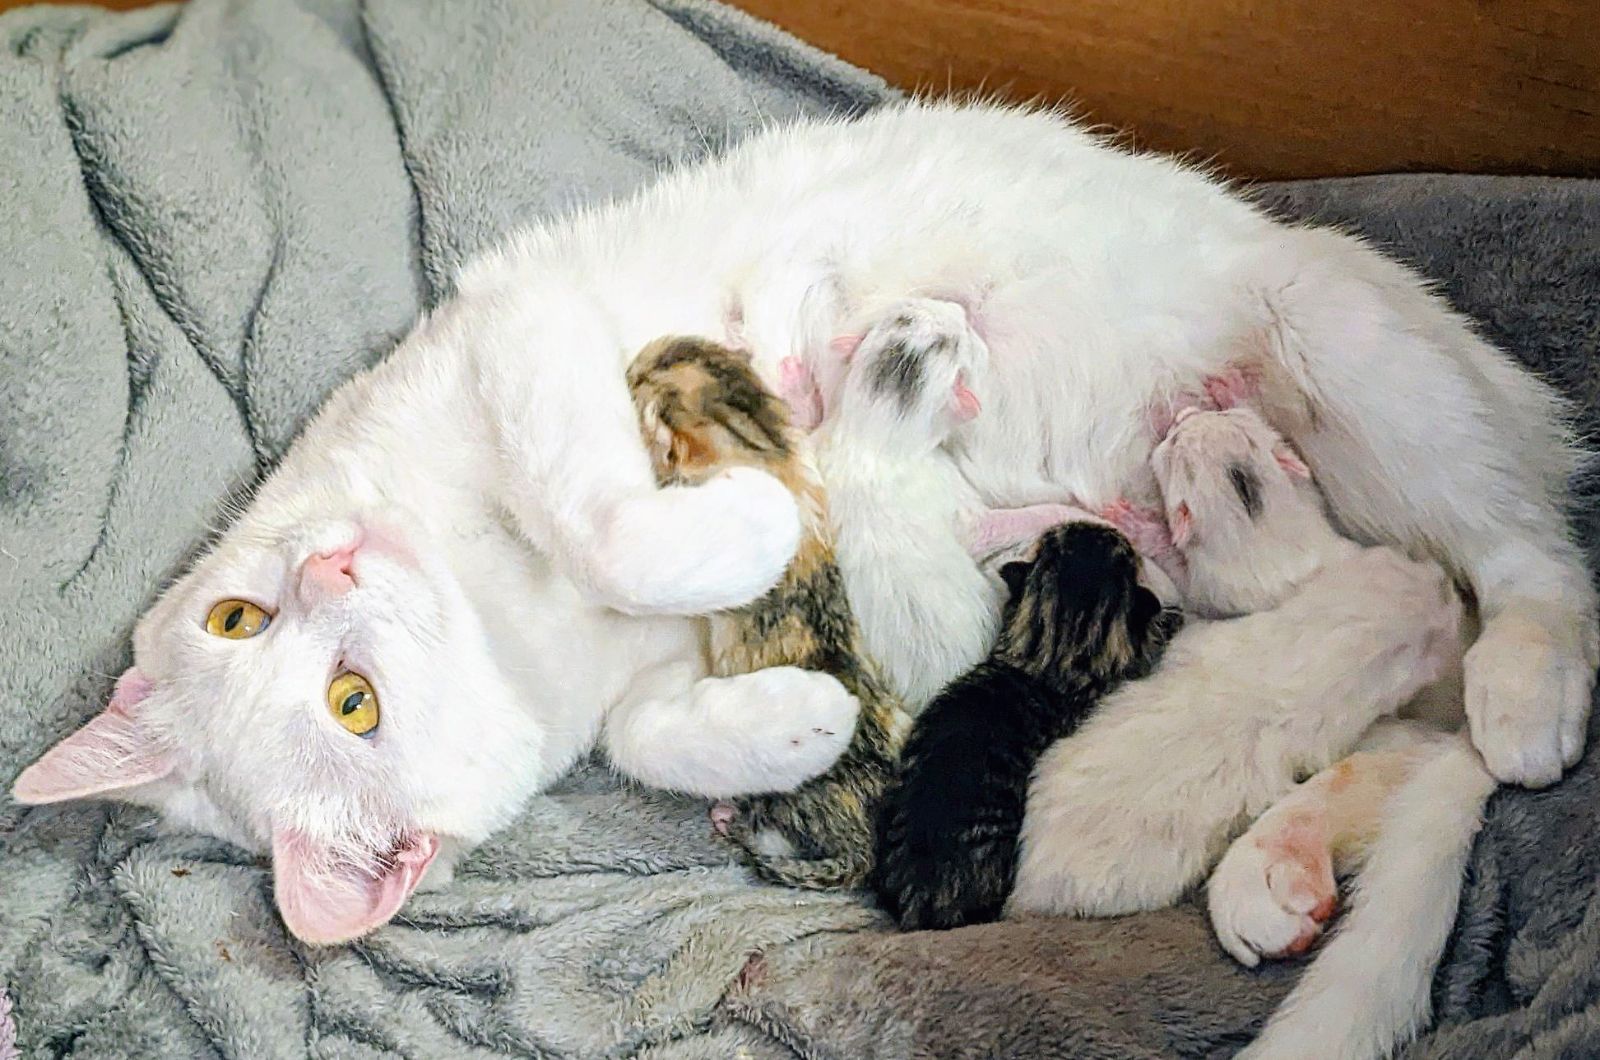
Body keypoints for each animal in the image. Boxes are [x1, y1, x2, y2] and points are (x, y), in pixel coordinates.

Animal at [620, 334, 908, 890]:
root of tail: (865, 848)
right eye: (665, 351)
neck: (764, 439)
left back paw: (728, 818)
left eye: (645, 377)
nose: (632, 364)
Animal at [870, 521, 1184, 928]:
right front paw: (1171, 620)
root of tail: (918, 905)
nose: (1100, 526)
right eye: (1125, 553)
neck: (1055, 654)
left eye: (1053, 540)